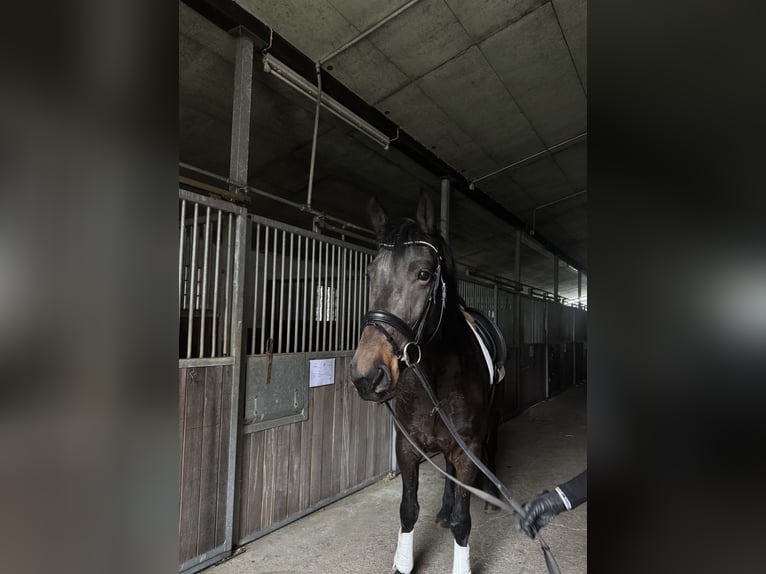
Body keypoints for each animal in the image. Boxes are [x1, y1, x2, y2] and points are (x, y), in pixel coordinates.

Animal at [350, 192, 505, 574]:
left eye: (423, 274)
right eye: (371, 273)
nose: (367, 375)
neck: (436, 377)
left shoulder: (468, 448)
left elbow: (465, 520)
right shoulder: (407, 447)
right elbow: (408, 510)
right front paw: (403, 564)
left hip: (492, 421)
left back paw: (492, 497)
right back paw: (443, 512)